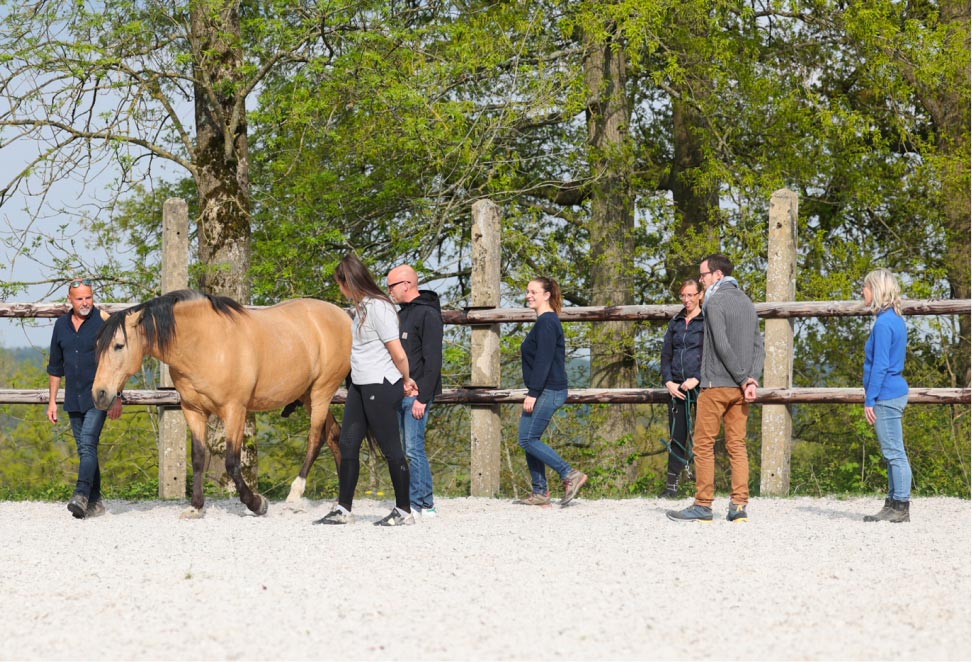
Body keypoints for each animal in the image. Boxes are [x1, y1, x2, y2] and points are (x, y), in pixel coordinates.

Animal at [91, 290, 354, 520]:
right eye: (97, 346)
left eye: (118, 345)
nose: (99, 394)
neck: (205, 343)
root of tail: (343, 317)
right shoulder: (194, 411)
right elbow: (198, 458)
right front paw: (196, 507)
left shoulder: (234, 410)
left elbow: (232, 462)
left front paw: (256, 503)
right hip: (308, 395)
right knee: (333, 434)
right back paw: (338, 502)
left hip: (321, 392)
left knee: (315, 438)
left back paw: (295, 494)